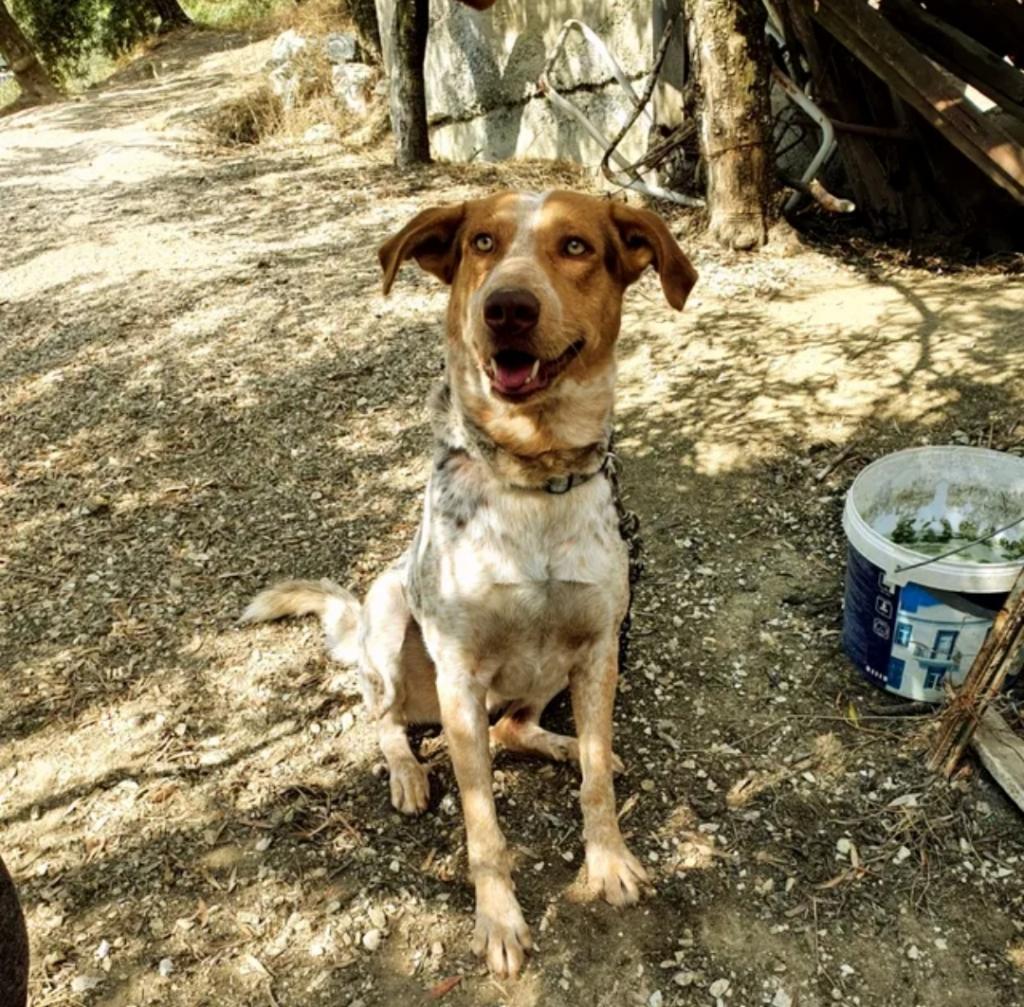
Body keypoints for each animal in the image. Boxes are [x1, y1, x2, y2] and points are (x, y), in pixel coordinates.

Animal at [243, 190, 696, 976]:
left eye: (575, 246)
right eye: (482, 242)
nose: (507, 307)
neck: (535, 476)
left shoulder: (600, 648)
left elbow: (598, 782)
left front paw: (607, 859)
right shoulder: (458, 674)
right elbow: (482, 820)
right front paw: (499, 919)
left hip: (551, 671)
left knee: (515, 725)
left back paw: (561, 742)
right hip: (390, 618)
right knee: (385, 718)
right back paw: (408, 772)